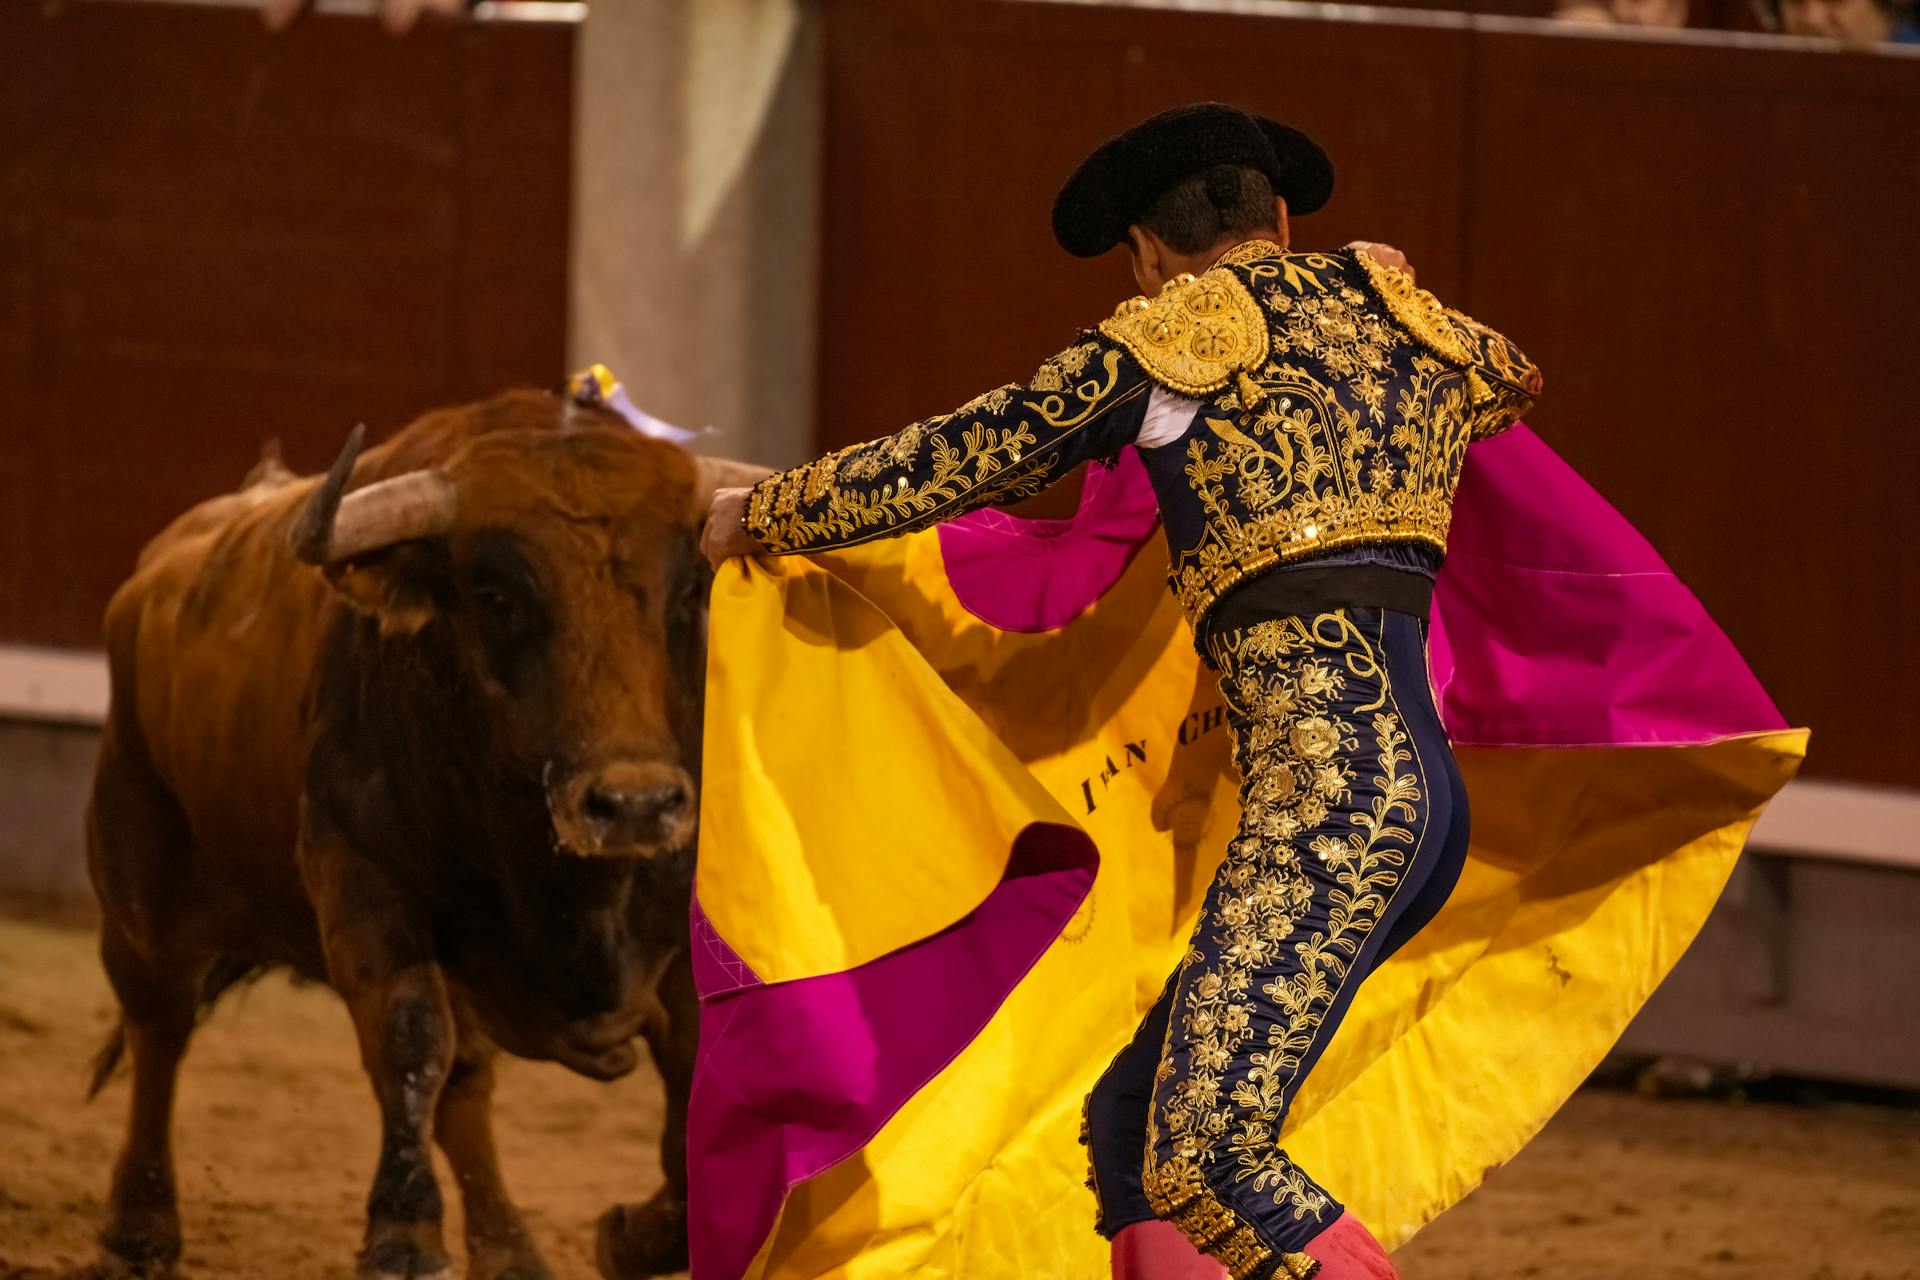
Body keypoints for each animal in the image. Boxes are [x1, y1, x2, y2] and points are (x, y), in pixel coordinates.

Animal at [88, 387, 764, 1280]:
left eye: (687, 592)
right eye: (497, 596)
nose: (635, 804)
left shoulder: (687, 939)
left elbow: (697, 1081)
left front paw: (627, 1235)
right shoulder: (364, 887)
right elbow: (409, 1040)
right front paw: (403, 1234)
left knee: (466, 1089)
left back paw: (511, 1251)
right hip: (139, 890)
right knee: (159, 1030)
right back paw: (138, 1226)